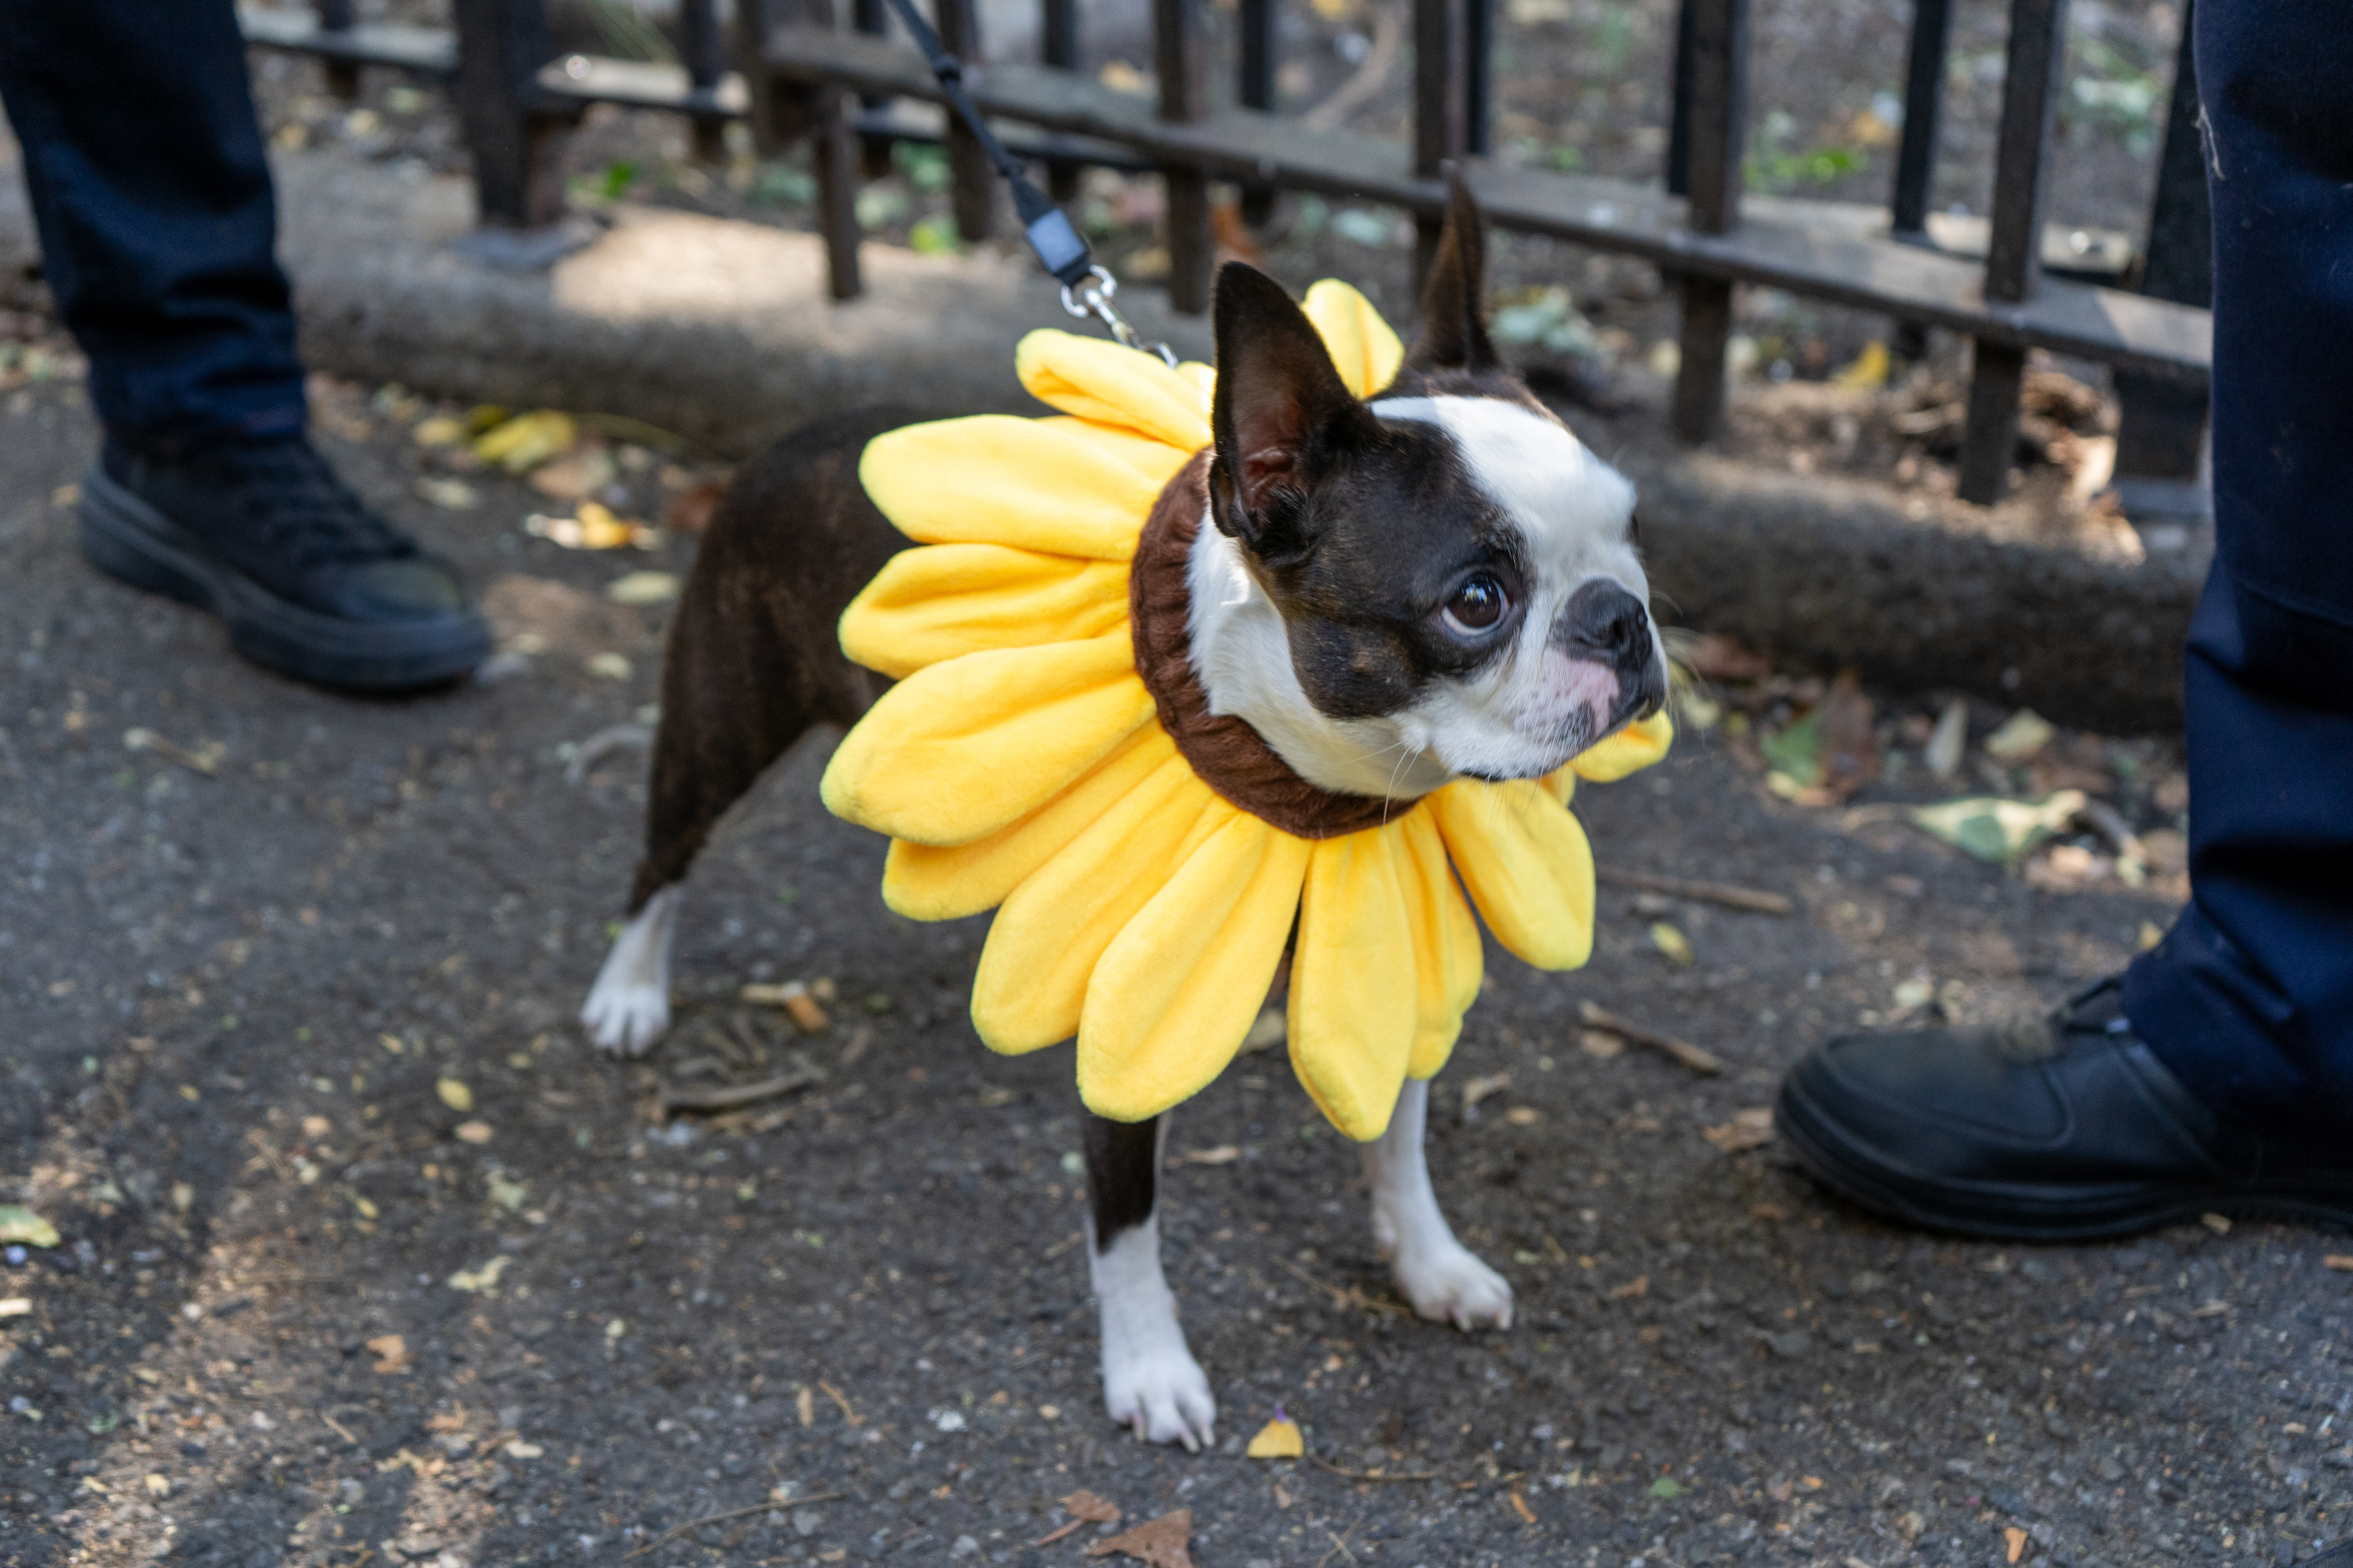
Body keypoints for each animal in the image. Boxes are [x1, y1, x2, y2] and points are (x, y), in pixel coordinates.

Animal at [576, 186, 1666, 1457]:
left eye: (1631, 531)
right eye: (1476, 602)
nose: (1621, 616)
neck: (1320, 785)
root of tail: (790, 438)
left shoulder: (1395, 944)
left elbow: (1397, 1130)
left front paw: (1428, 1261)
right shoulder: (1134, 1005)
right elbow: (1126, 1214)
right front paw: (1150, 1367)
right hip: (722, 720)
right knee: (662, 857)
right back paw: (629, 991)